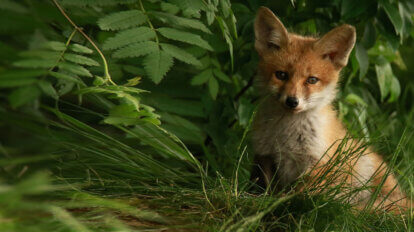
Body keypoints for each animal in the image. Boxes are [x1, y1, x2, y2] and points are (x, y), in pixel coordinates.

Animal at [251, 6, 410, 214]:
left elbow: (298, 194)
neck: (287, 136)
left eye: (312, 80)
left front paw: (282, 204)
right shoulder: (265, 155)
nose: (292, 101)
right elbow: (266, 189)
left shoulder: (318, 163)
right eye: (281, 75)